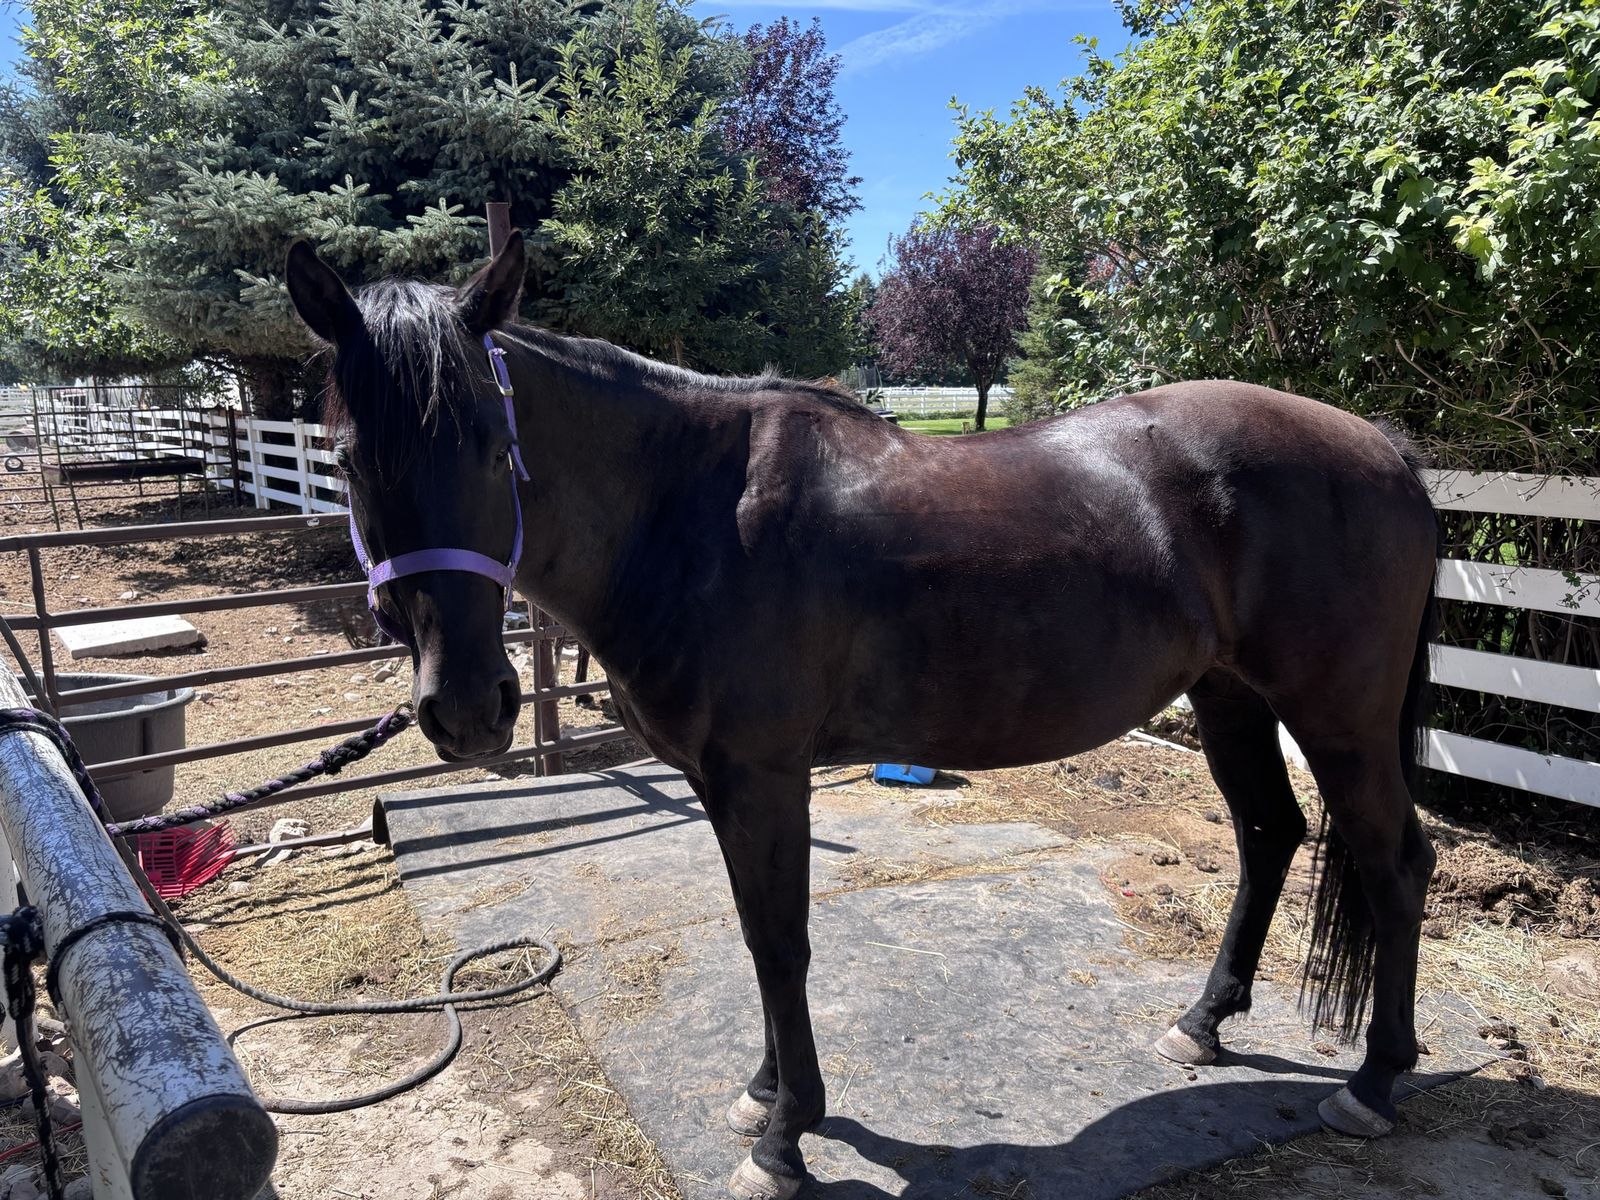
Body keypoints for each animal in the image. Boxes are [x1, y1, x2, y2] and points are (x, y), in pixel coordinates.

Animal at [286, 233, 1439, 1200]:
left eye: (495, 445)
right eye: (346, 461)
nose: (469, 709)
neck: (692, 511)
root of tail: (1384, 449)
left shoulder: (762, 775)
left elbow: (782, 941)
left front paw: (783, 1140)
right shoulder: (721, 782)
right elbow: (757, 937)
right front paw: (764, 1095)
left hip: (1338, 716)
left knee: (1394, 865)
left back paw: (1374, 1084)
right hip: (1230, 695)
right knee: (1269, 834)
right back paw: (1201, 1025)